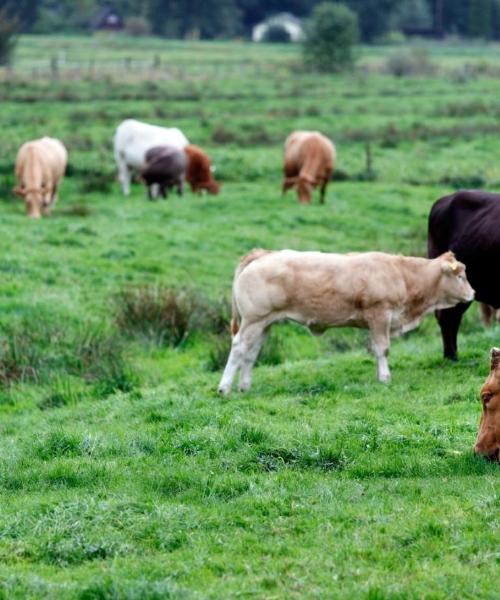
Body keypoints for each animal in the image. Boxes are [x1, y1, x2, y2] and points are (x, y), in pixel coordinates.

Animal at [218, 248, 472, 394]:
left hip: (264, 323)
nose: (473, 293)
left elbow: (375, 349)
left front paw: (379, 375)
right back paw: (224, 387)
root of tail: (263, 254)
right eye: (460, 276)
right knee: (238, 348)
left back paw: (244, 386)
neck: (401, 274)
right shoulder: (379, 314)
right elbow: (383, 349)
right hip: (253, 320)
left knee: (251, 352)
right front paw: (385, 378)